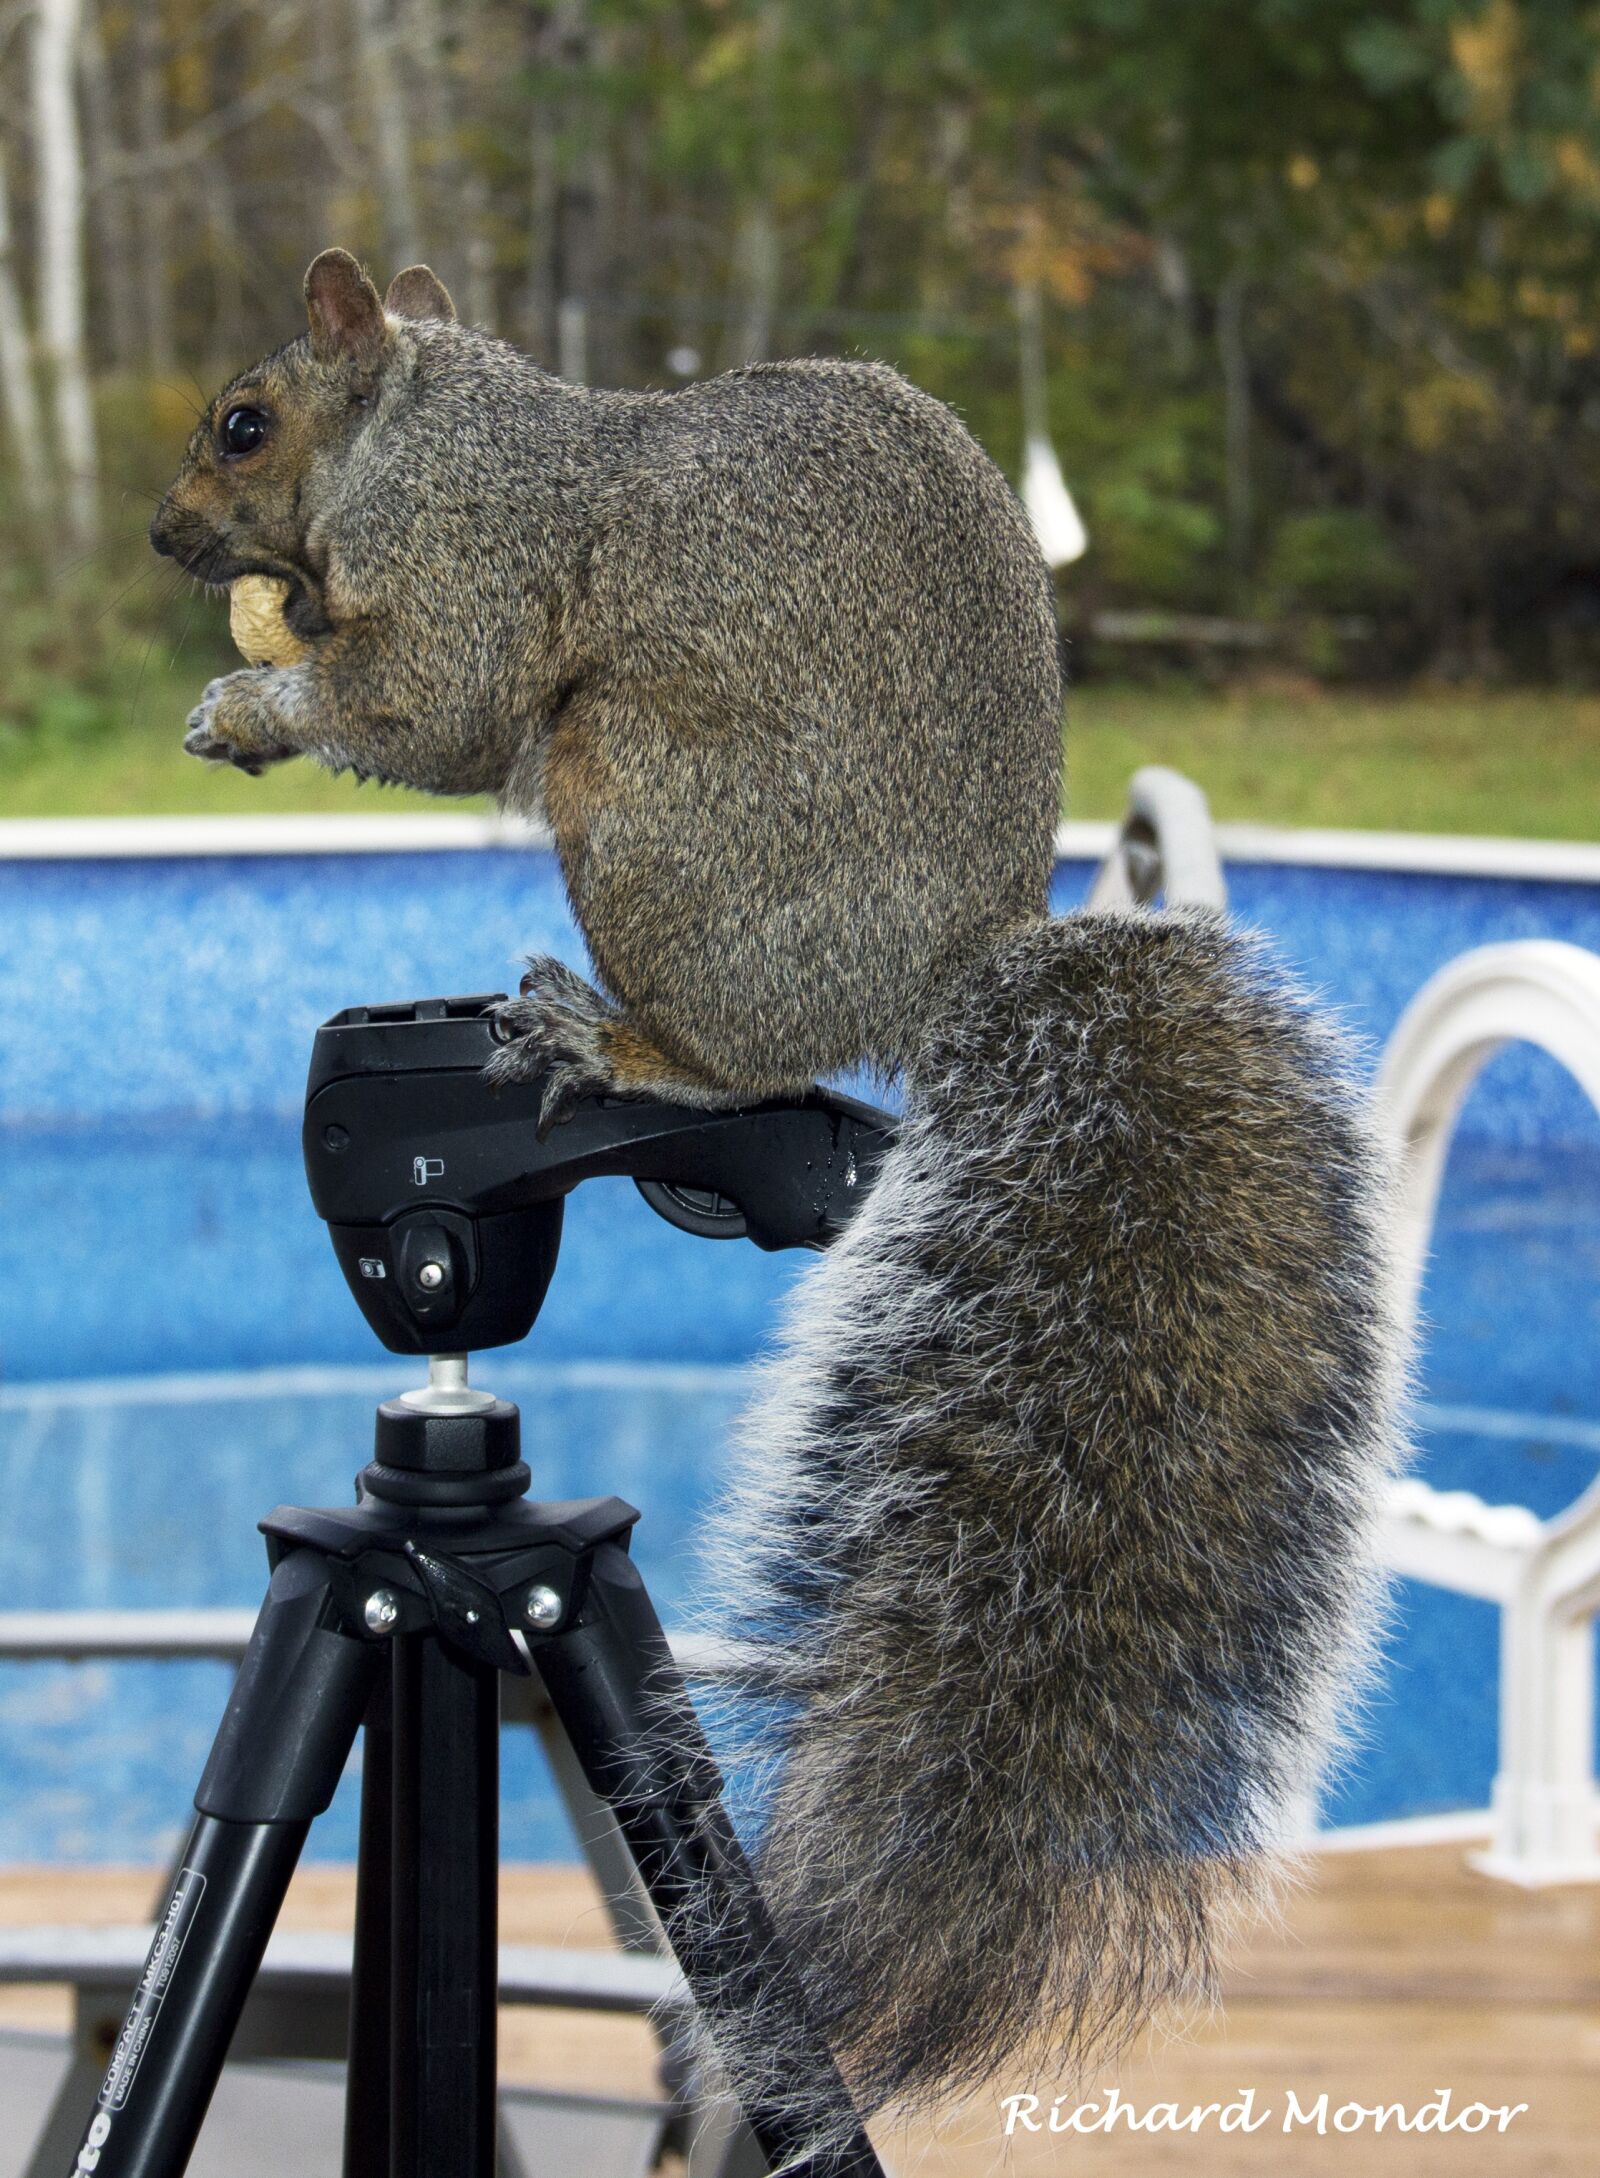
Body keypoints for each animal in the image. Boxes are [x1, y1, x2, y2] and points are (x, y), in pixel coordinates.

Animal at [152, 250, 1406, 2142]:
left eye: (244, 421)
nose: (165, 534)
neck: (436, 436)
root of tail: (942, 987)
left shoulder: (467, 575)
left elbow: (424, 710)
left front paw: (250, 708)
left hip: (636, 793)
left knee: (719, 1053)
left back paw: (615, 1036)